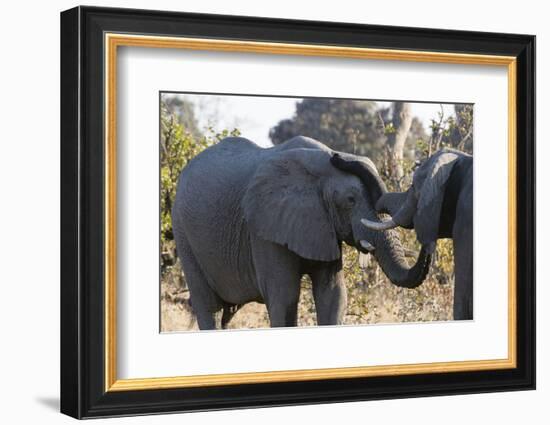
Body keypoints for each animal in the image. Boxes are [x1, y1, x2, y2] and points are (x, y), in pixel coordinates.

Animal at [175, 134, 434, 330]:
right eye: (350, 200)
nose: (340, 157)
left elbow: (334, 295)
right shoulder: (263, 228)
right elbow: (285, 297)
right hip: (184, 236)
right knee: (209, 307)